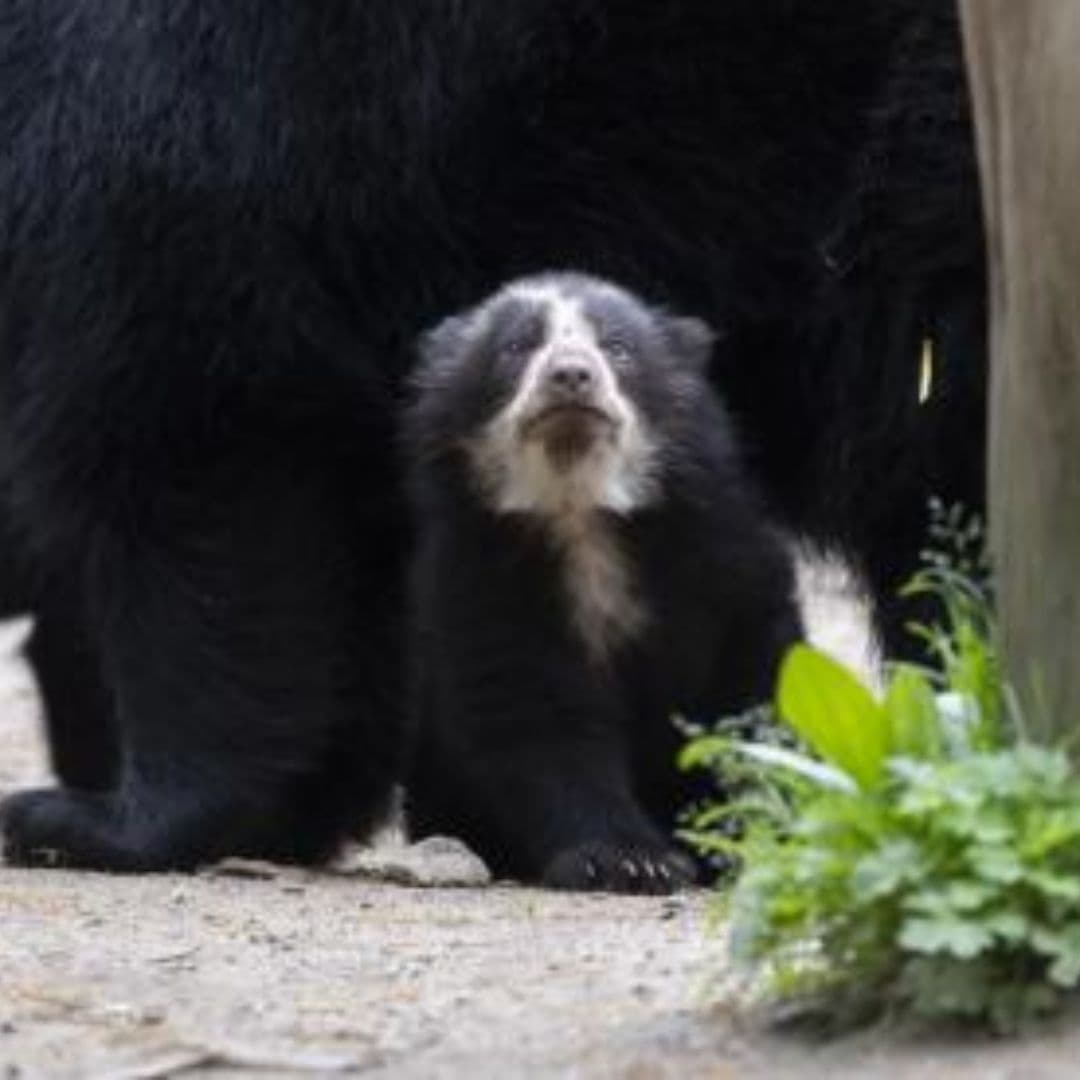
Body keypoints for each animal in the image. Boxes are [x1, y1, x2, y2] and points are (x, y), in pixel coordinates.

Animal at [403, 273, 803, 892]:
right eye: (517, 347)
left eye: (617, 348)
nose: (571, 375)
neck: (584, 515)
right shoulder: (483, 578)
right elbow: (539, 717)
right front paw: (628, 860)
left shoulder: (722, 554)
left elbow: (752, 688)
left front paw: (744, 844)